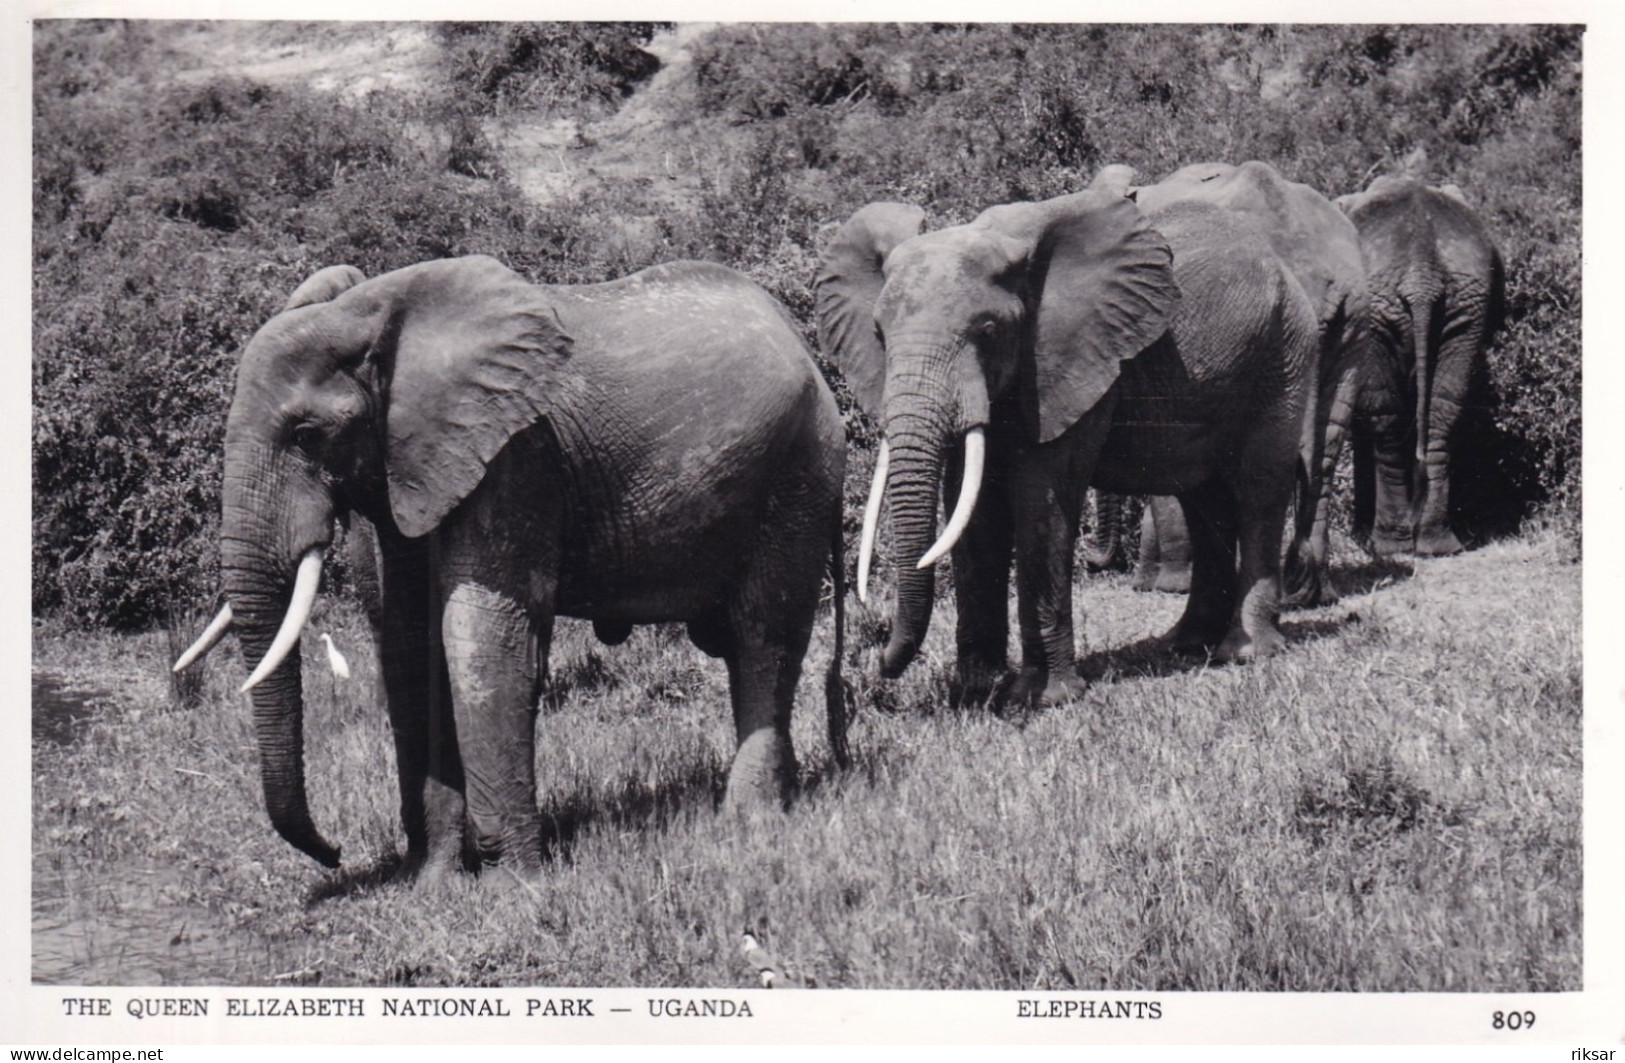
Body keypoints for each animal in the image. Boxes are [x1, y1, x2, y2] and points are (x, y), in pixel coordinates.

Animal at [173, 255, 848, 885]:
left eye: (307, 434)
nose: (335, 853)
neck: (369, 313)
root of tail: (799, 341)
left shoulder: (518, 454)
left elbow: (481, 641)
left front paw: (513, 885)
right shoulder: (407, 470)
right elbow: (409, 647)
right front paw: (436, 882)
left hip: (801, 470)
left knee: (763, 638)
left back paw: (747, 821)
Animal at [815, 188, 1318, 708]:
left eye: (988, 331)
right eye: (879, 335)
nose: (873, 663)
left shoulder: (1069, 357)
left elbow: (1041, 500)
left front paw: (1044, 698)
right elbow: (972, 508)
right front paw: (976, 690)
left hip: (1284, 351)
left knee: (1258, 490)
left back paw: (1245, 652)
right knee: (1203, 501)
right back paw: (1184, 645)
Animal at [1335, 175, 1506, 557]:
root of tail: (1421, 273)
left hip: (1377, 305)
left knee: (1384, 416)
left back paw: (1387, 545)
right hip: (1466, 301)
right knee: (1444, 408)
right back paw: (1437, 543)